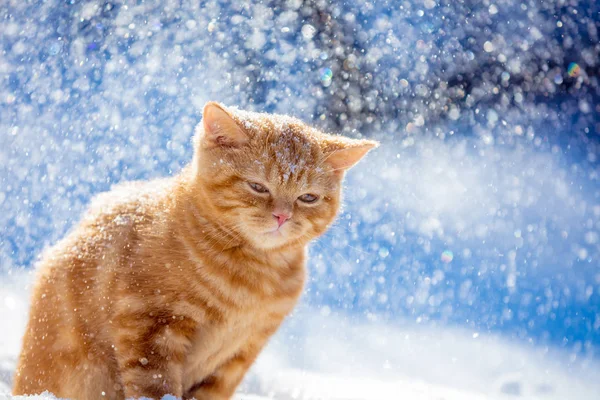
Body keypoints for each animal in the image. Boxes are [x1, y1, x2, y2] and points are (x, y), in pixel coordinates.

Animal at [14, 101, 378, 400]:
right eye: (258, 187)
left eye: (308, 198)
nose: (282, 215)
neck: (254, 276)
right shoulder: (150, 322)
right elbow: (155, 385)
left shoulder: (241, 353)